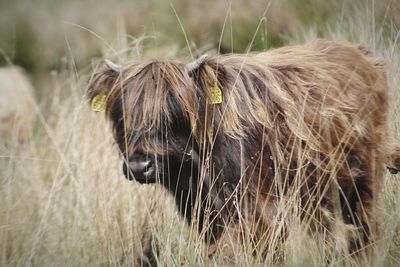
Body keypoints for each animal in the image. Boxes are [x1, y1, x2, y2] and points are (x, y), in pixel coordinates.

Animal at [89, 39, 400, 262]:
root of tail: (362, 55)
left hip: (362, 184)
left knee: (364, 232)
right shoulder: (206, 214)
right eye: (121, 114)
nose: (140, 167)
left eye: (174, 112)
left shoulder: (256, 209)